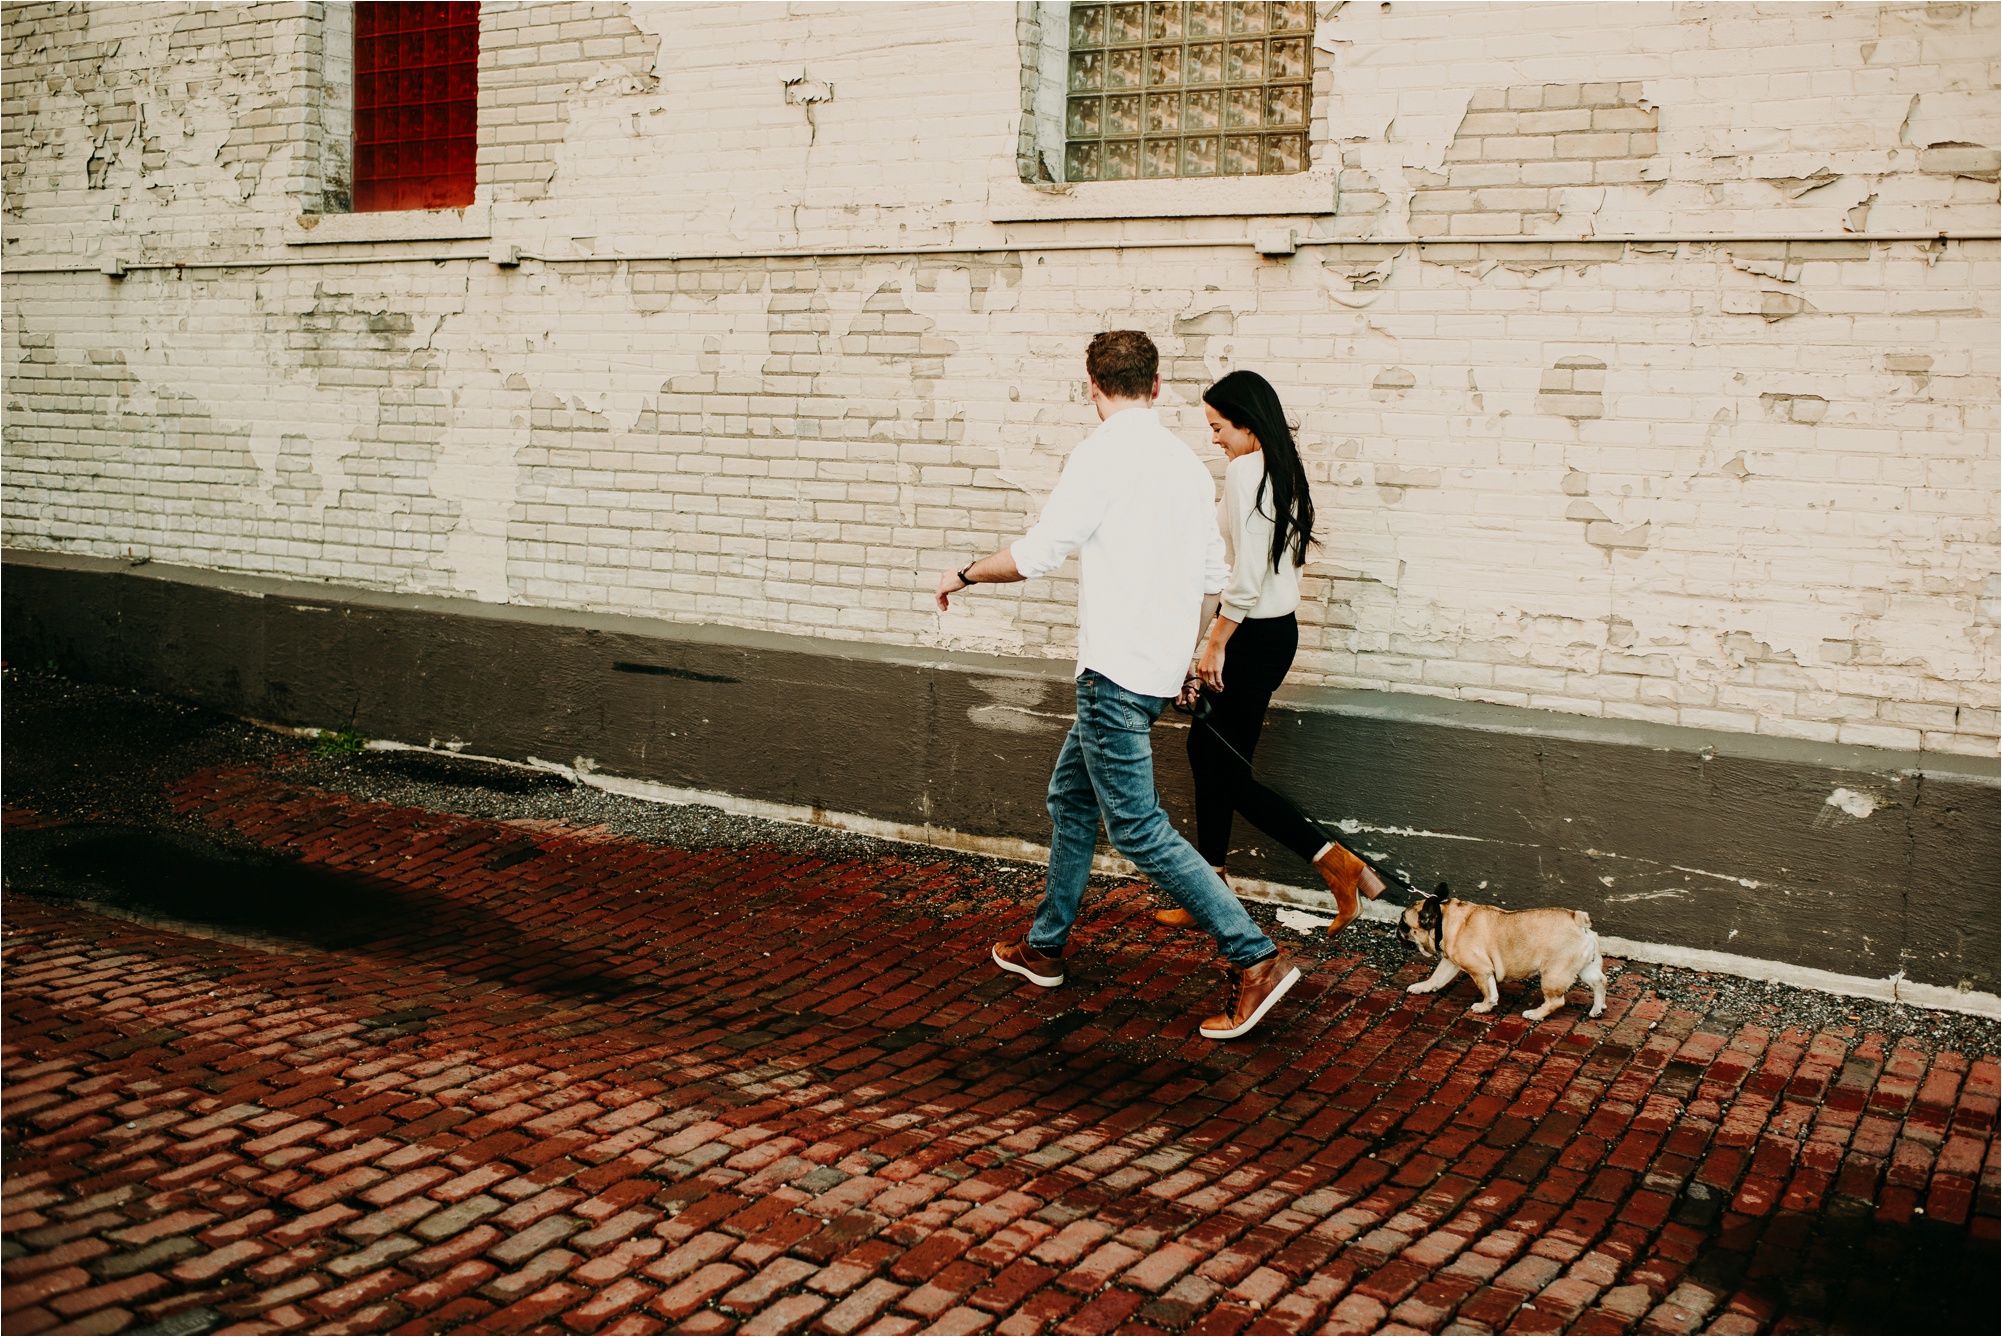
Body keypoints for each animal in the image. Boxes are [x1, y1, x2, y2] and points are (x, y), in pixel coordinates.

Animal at [1401, 892, 1601, 1016]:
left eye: (1403, 924)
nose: (1397, 928)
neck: (1445, 921)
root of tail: (1578, 920)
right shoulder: (1450, 962)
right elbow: (1437, 977)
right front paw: (1422, 987)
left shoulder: (1480, 971)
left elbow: (1488, 992)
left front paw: (1484, 1007)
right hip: (1586, 968)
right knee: (1600, 982)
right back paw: (1597, 1010)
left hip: (1553, 974)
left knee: (1556, 1002)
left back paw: (1534, 1014)